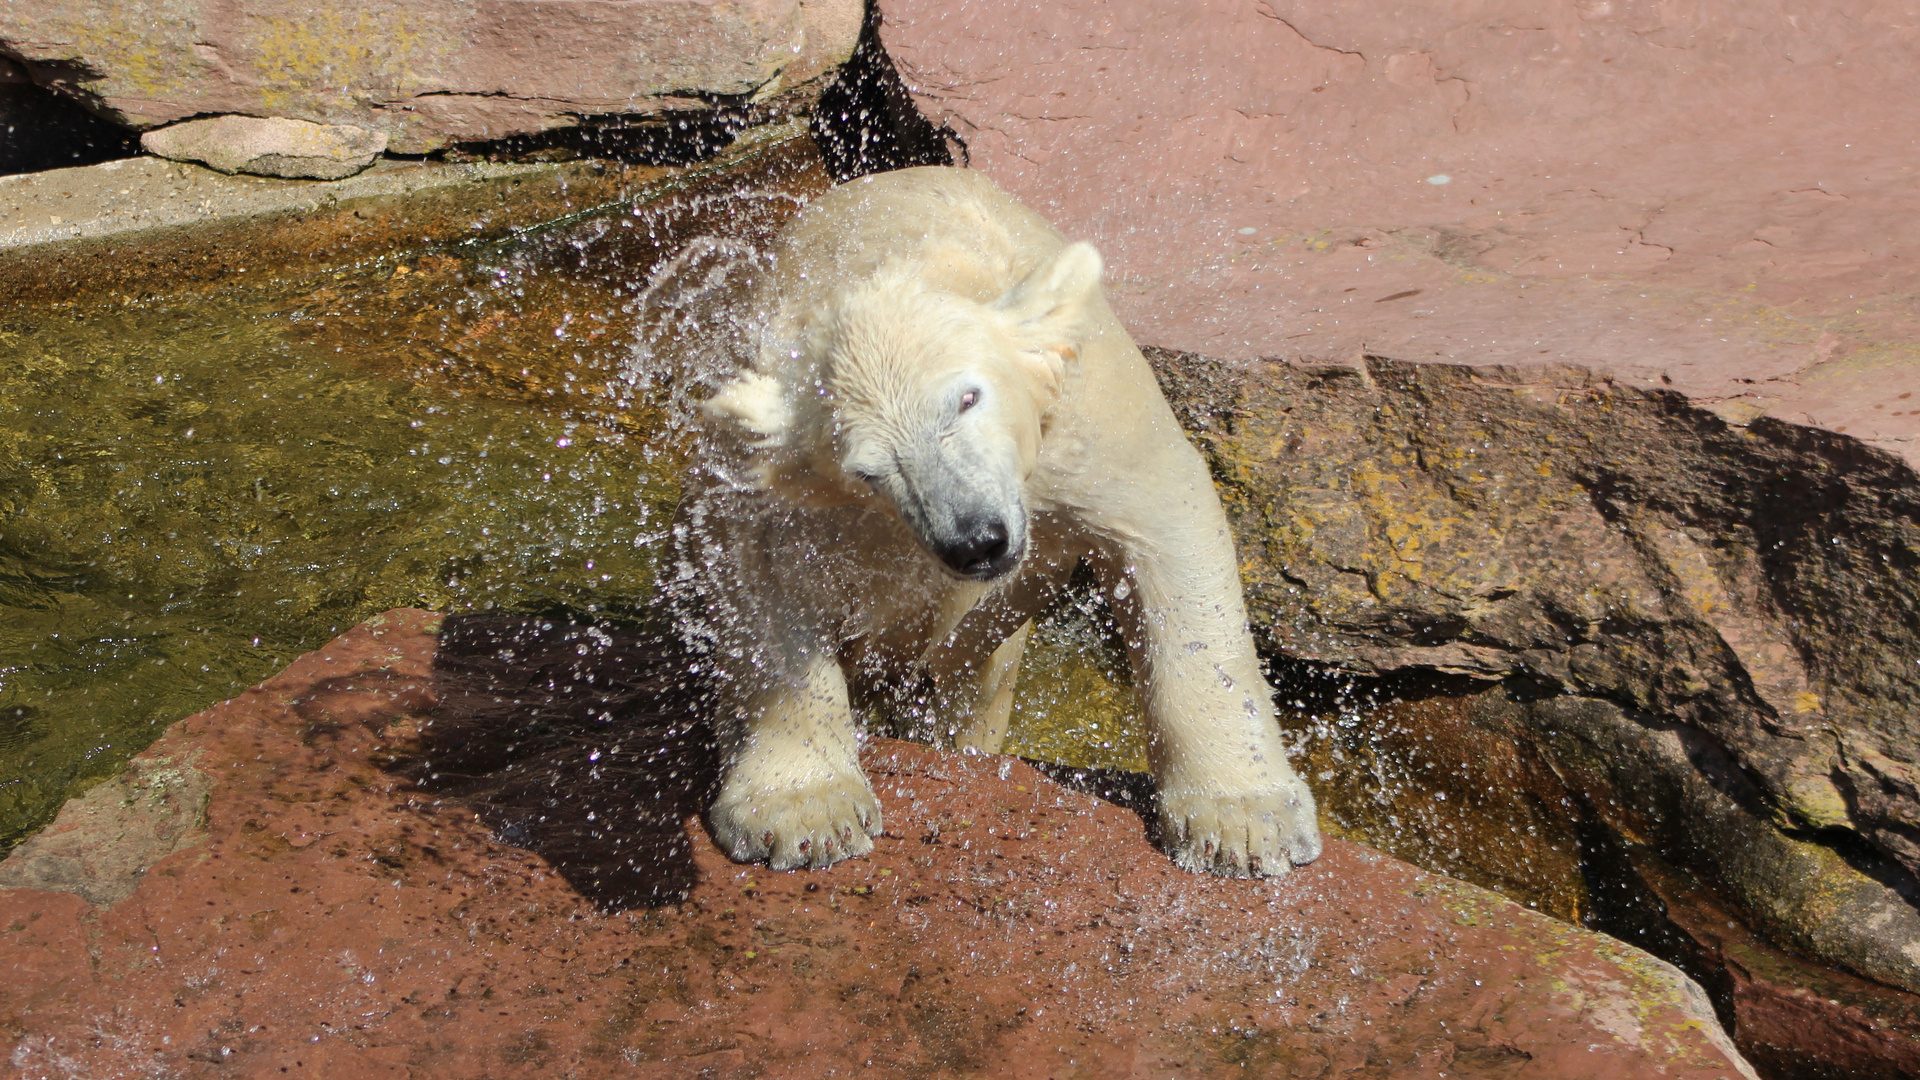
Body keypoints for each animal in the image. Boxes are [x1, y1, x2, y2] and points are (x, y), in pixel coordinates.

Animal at [675, 166, 1320, 876]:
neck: (898, 258)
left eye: (967, 397)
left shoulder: (1083, 408)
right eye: (868, 469)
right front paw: (803, 813)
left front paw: (1244, 824)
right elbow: (756, 564)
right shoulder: (768, 461)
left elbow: (1160, 520)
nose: (974, 541)